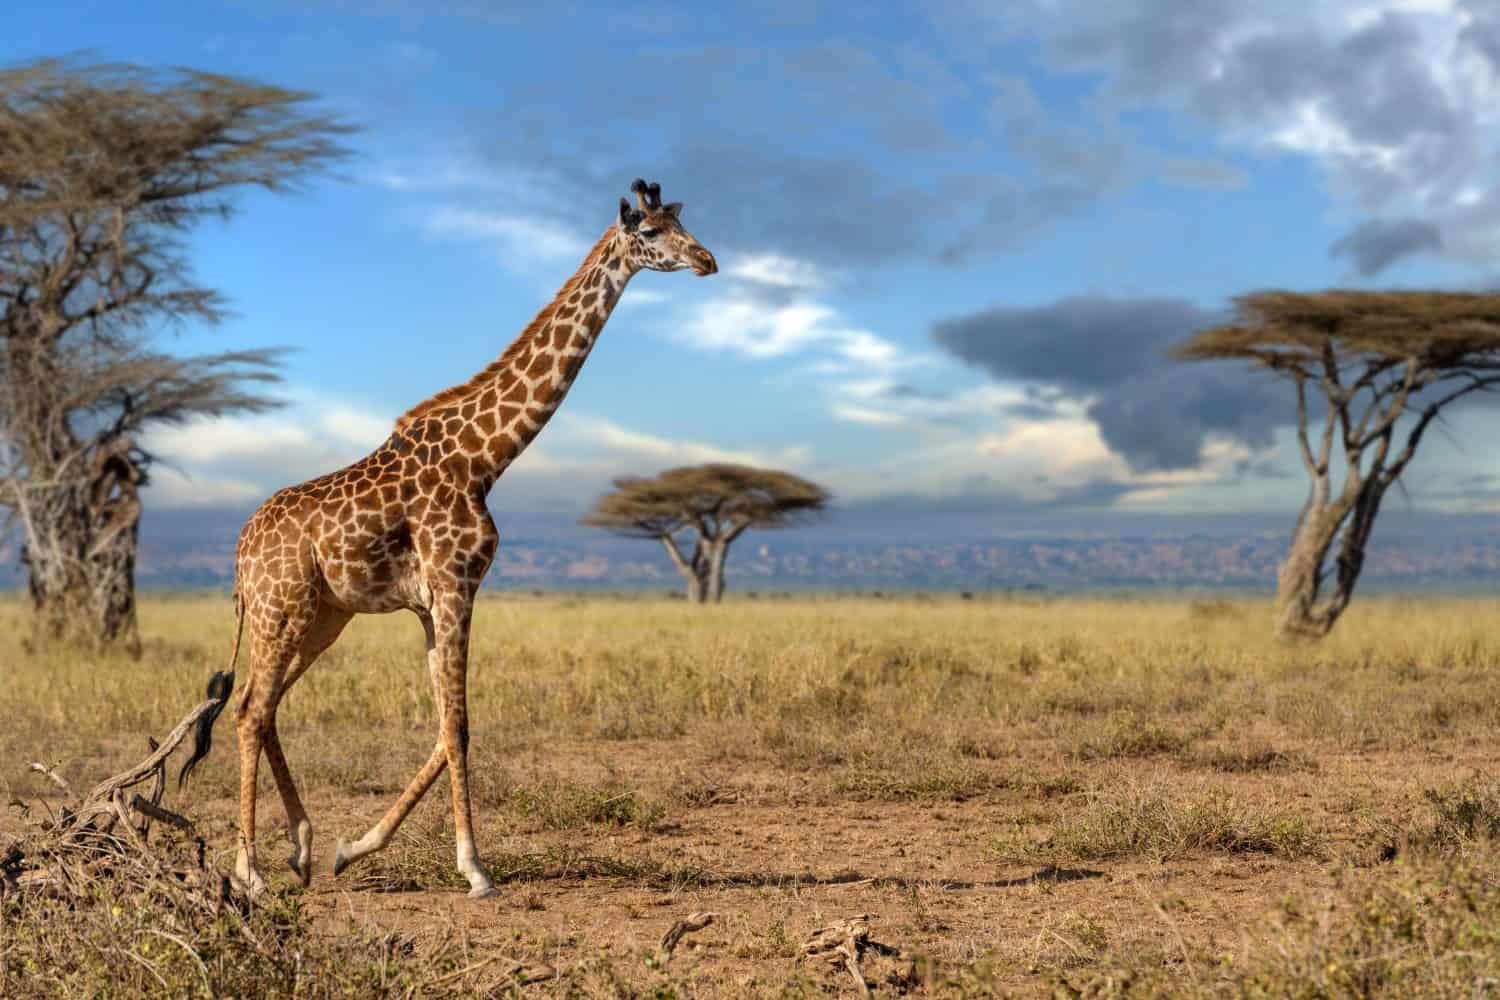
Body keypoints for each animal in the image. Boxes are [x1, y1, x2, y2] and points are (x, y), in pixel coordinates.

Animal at [178, 179, 717, 898]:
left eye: (683, 224)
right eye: (653, 234)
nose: (708, 260)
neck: (487, 456)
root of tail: (240, 551)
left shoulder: (433, 603)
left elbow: (444, 726)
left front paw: (355, 848)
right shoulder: (456, 586)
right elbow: (457, 728)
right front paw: (476, 869)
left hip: (323, 617)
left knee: (262, 710)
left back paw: (303, 848)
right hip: (279, 610)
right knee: (247, 709)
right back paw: (252, 871)